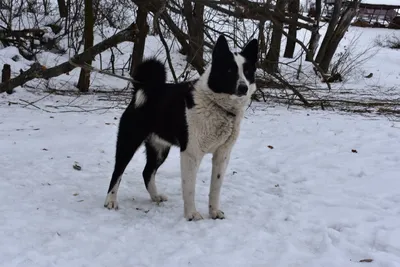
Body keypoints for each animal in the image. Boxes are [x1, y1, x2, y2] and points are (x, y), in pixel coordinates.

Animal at [104, 34, 258, 221]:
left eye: (247, 72)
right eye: (229, 71)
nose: (243, 87)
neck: (219, 107)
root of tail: (145, 88)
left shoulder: (222, 155)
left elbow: (215, 188)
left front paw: (214, 211)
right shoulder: (191, 154)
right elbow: (189, 187)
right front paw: (191, 214)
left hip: (159, 149)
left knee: (147, 172)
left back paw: (155, 196)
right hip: (129, 142)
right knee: (117, 172)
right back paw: (110, 201)